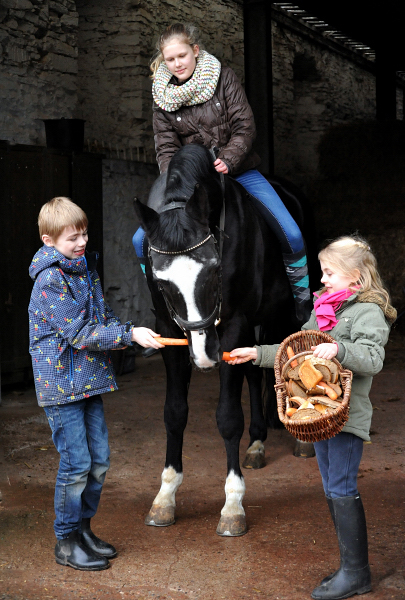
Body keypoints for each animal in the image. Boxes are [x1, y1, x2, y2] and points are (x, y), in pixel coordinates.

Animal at [133, 143, 316, 536]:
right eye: (161, 282)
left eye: (214, 268)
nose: (205, 354)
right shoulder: (168, 331)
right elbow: (174, 413)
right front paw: (164, 498)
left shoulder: (232, 327)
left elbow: (228, 417)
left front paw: (233, 505)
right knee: (255, 371)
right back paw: (258, 442)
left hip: (281, 313)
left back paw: (298, 437)